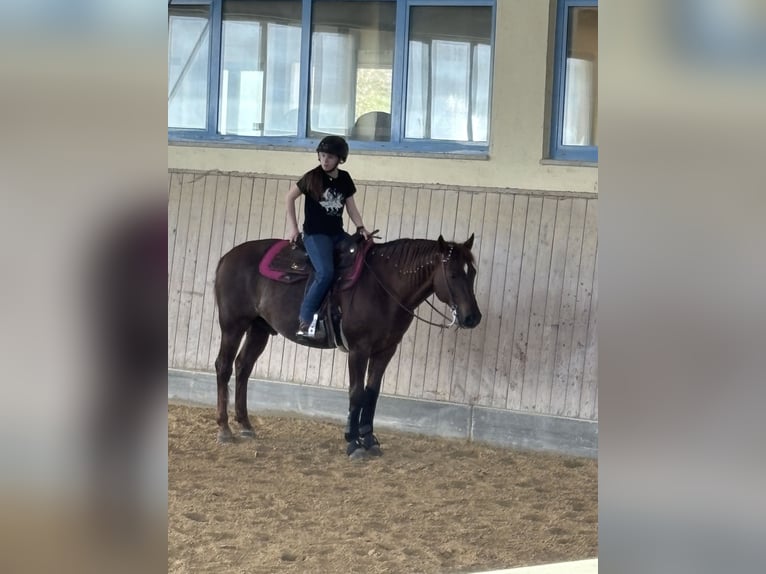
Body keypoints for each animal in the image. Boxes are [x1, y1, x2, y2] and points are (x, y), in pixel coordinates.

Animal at [213, 232, 482, 458]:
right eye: (453, 274)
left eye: (473, 273)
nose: (473, 318)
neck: (383, 288)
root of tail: (227, 256)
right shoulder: (358, 350)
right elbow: (356, 393)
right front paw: (353, 443)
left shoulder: (385, 350)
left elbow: (372, 393)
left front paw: (370, 440)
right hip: (233, 325)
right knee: (224, 366)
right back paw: (224, 429)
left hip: (259, 328)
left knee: (243, 367)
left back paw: (245, 425)